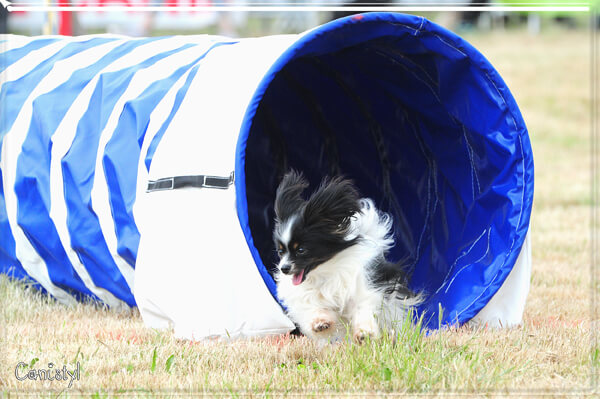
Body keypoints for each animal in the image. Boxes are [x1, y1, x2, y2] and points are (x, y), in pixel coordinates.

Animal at [274, 170, 422, 344]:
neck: (323, 272)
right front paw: (320, 323)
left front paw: (364, 333)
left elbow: (361, 308)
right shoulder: (304, 297)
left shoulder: (362, 288)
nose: (284, 268)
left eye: (301, 250)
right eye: (280, 251)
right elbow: (313, 308)